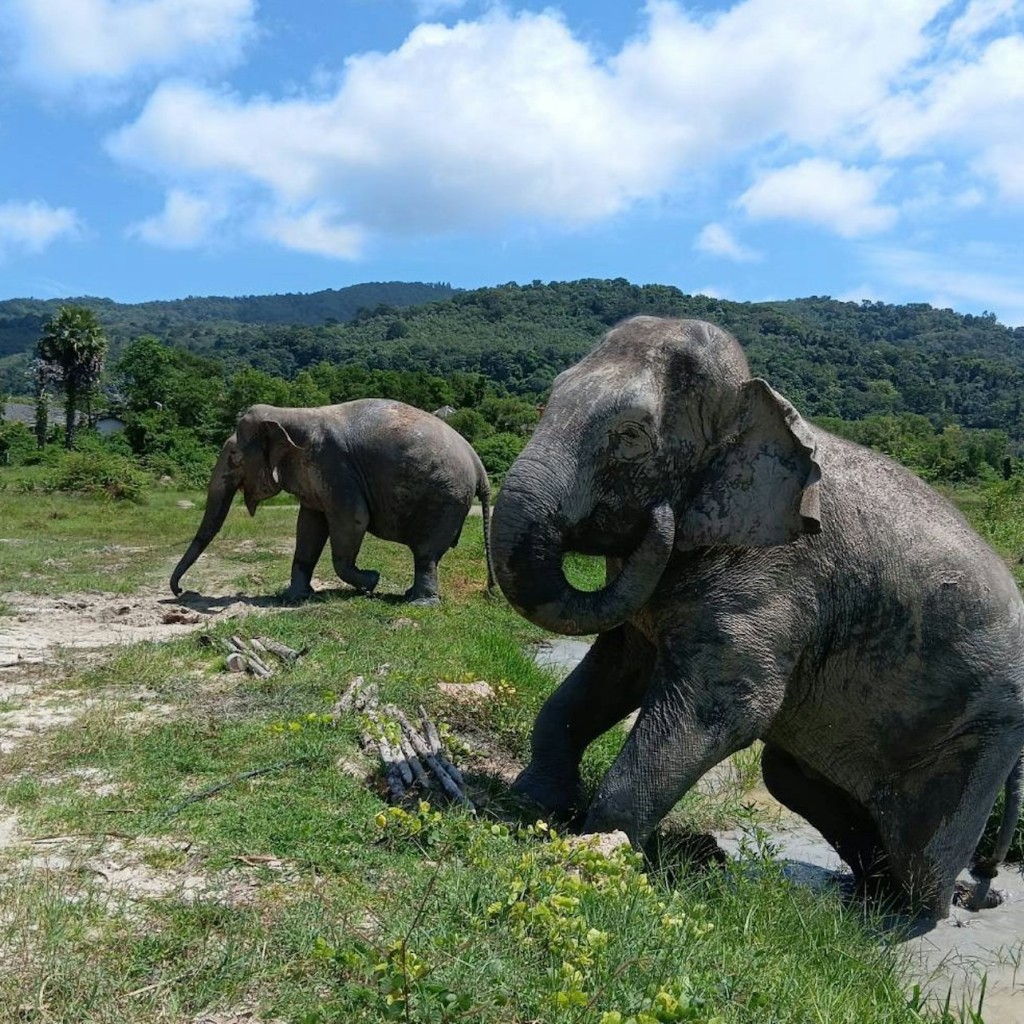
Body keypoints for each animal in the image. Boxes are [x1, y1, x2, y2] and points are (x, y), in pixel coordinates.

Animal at [171, 399, 494, 604]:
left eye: (235, 459)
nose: (182, 591)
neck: (291, 415)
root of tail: (479, 465)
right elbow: (309, 526)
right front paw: (293, 598)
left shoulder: (335, 466)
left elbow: (353, 519)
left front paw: (372, 582)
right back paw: (408, 595)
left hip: (445, 498)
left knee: (426, 553)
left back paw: (419, 604)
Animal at [491, 316, 1024, 920]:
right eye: (549, 397)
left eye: (630, 436)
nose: (660, 516)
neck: (755, 402)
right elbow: (612, 670)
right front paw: (532, 803)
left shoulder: (774, 579)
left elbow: (726, 707)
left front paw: (597, 851)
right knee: (788, 776)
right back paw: (868, 895)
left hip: (983, 732)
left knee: (921, 853)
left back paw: (906, 915)